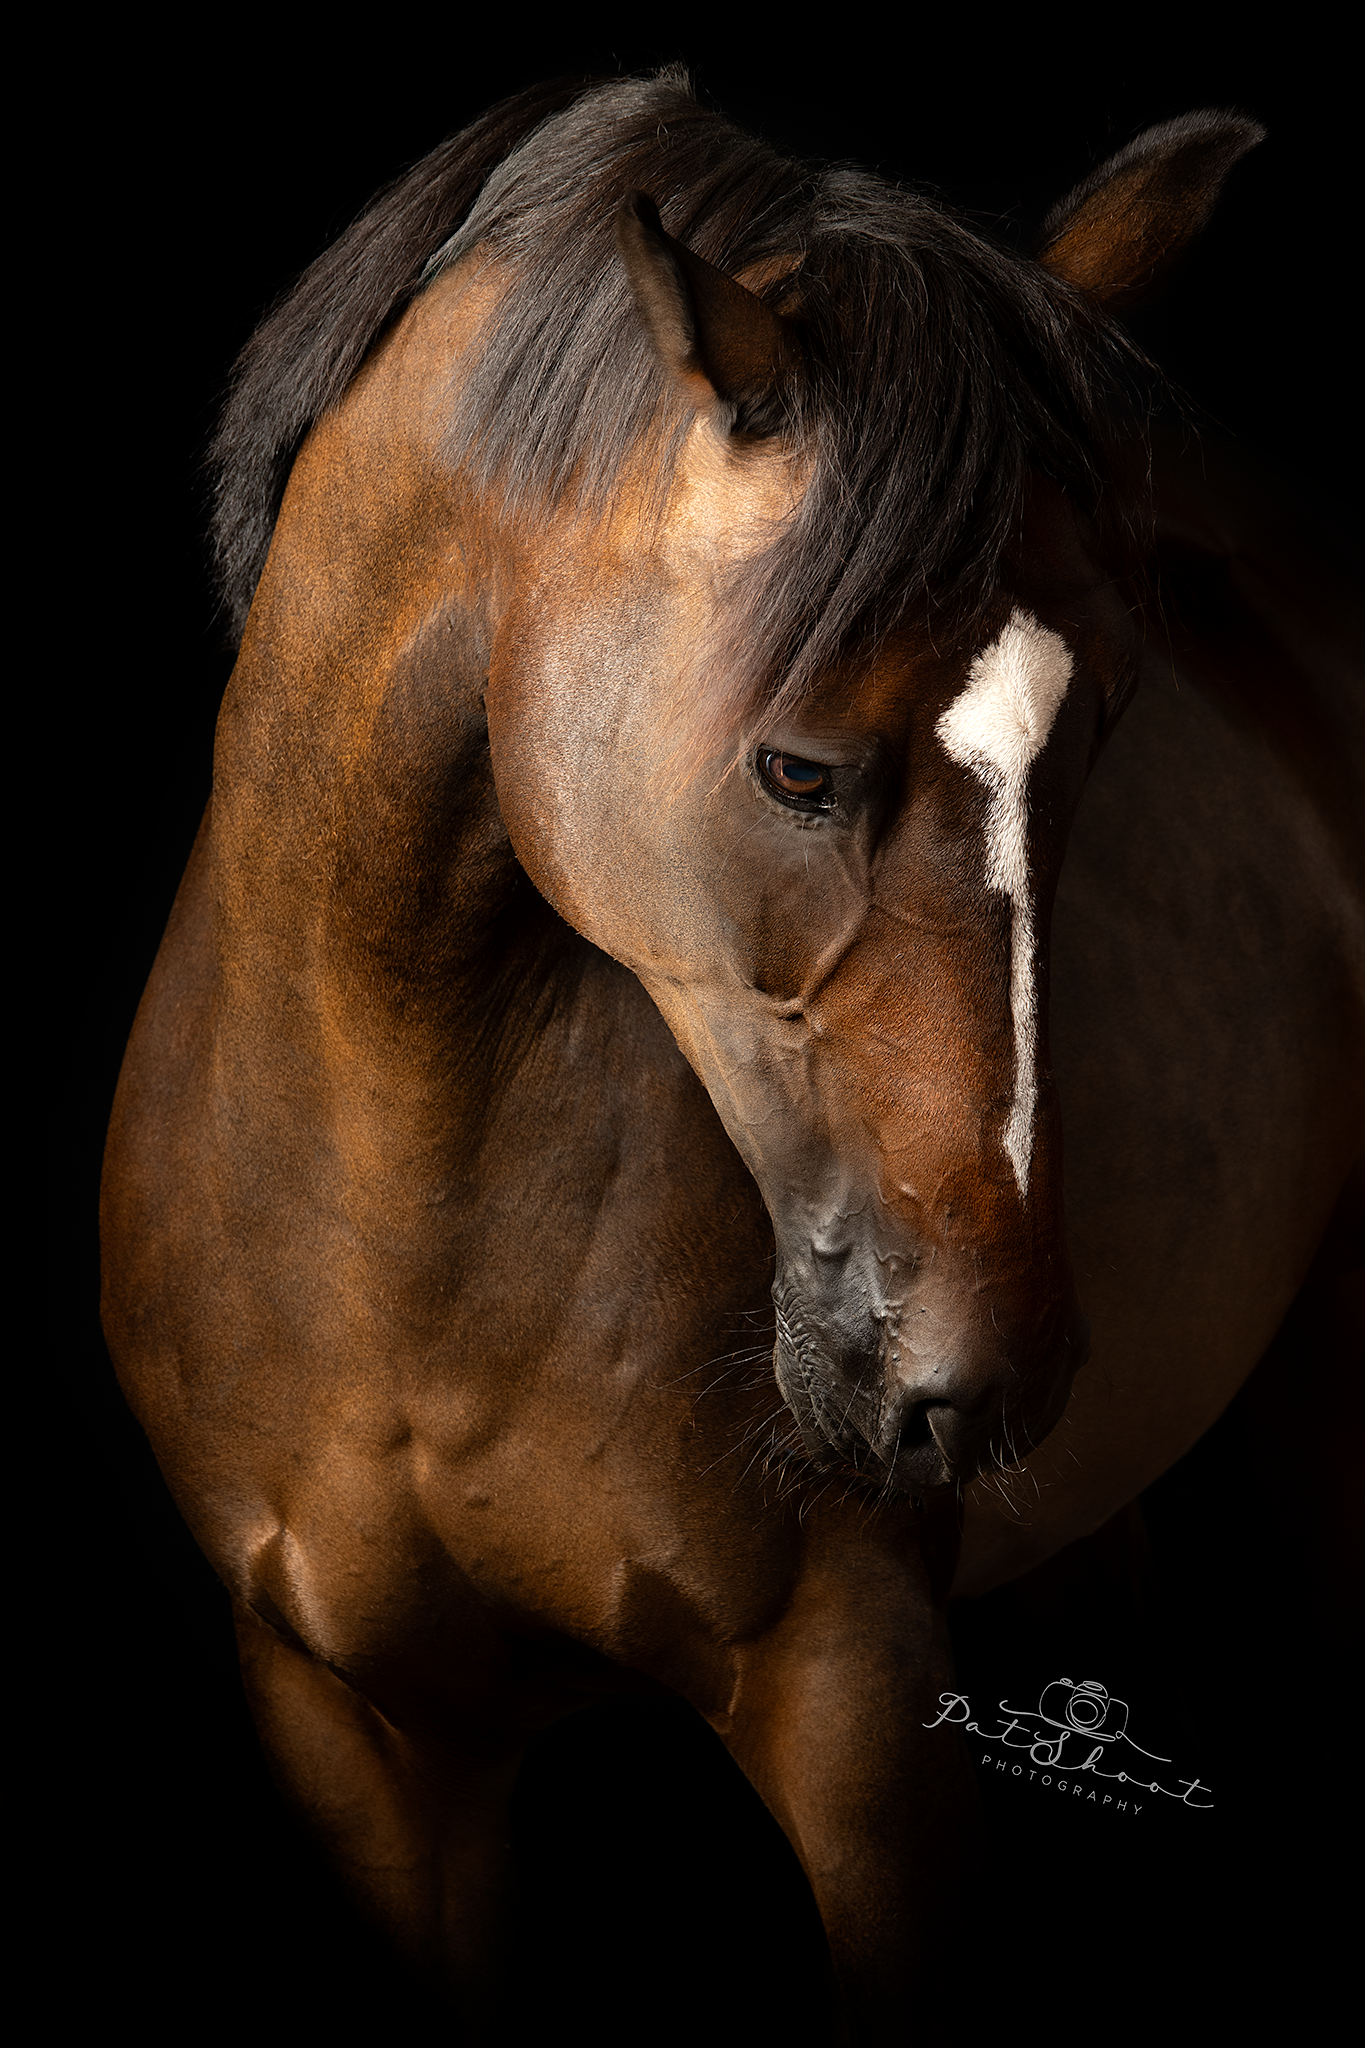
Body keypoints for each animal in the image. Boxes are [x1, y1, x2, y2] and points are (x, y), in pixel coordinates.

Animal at [101, 69, 1363, 2039]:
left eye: (1106, 734)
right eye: (793, 768)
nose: (977, 1373)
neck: (397, 1210)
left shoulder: (856, 1705)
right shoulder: (355, 1732)